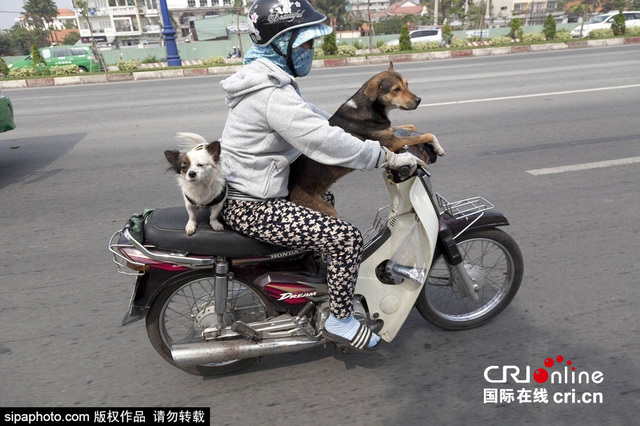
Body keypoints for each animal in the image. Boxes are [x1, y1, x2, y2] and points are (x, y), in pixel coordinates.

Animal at [288, 62, 445, 217]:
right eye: (396, 89)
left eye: (407, 84)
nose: (419, 100)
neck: (371, 106)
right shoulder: (392, 142)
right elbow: (428, 135)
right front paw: (438, 147)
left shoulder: (388, 131)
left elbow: (412, 127)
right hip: (325, 209)